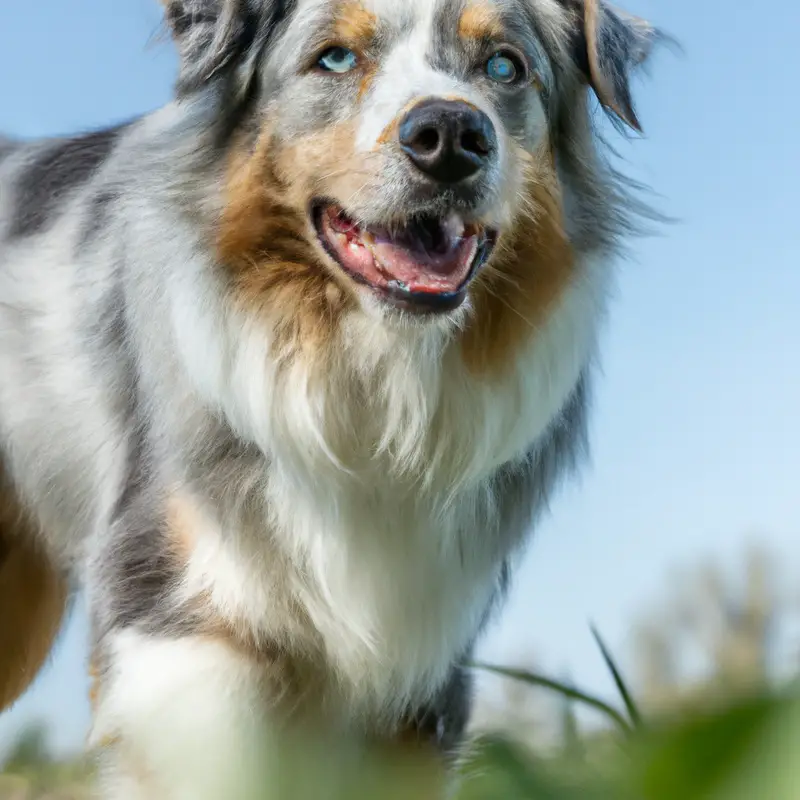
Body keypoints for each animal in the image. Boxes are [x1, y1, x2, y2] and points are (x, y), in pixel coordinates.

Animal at [0, 1, 664, 792]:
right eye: (335, 59)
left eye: (505, 66)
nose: (451, 137)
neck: (370, 380)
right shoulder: (177, 619)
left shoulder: (421, 665)